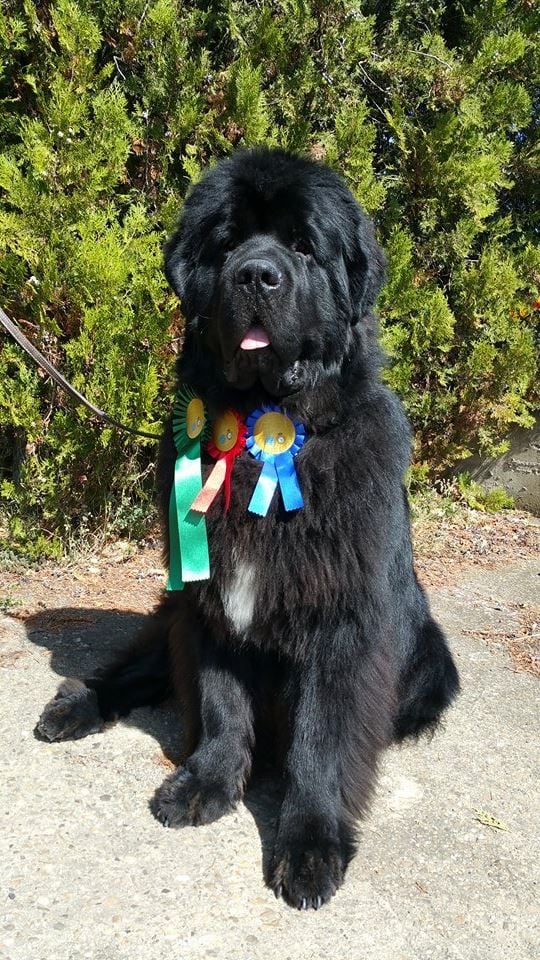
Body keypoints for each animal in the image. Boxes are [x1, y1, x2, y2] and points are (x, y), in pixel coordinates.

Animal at [37, 148, 460, 908]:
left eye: (302, 246)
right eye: (229, 242)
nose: (257, 274)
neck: (272, 427)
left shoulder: (343, 621)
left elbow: (322, 737)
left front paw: (311, 843)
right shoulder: (209, 600)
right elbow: (221, 702)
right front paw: (206, 782)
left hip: (431, 665)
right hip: (173, 609)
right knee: (142, 667)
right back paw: (77, 704)